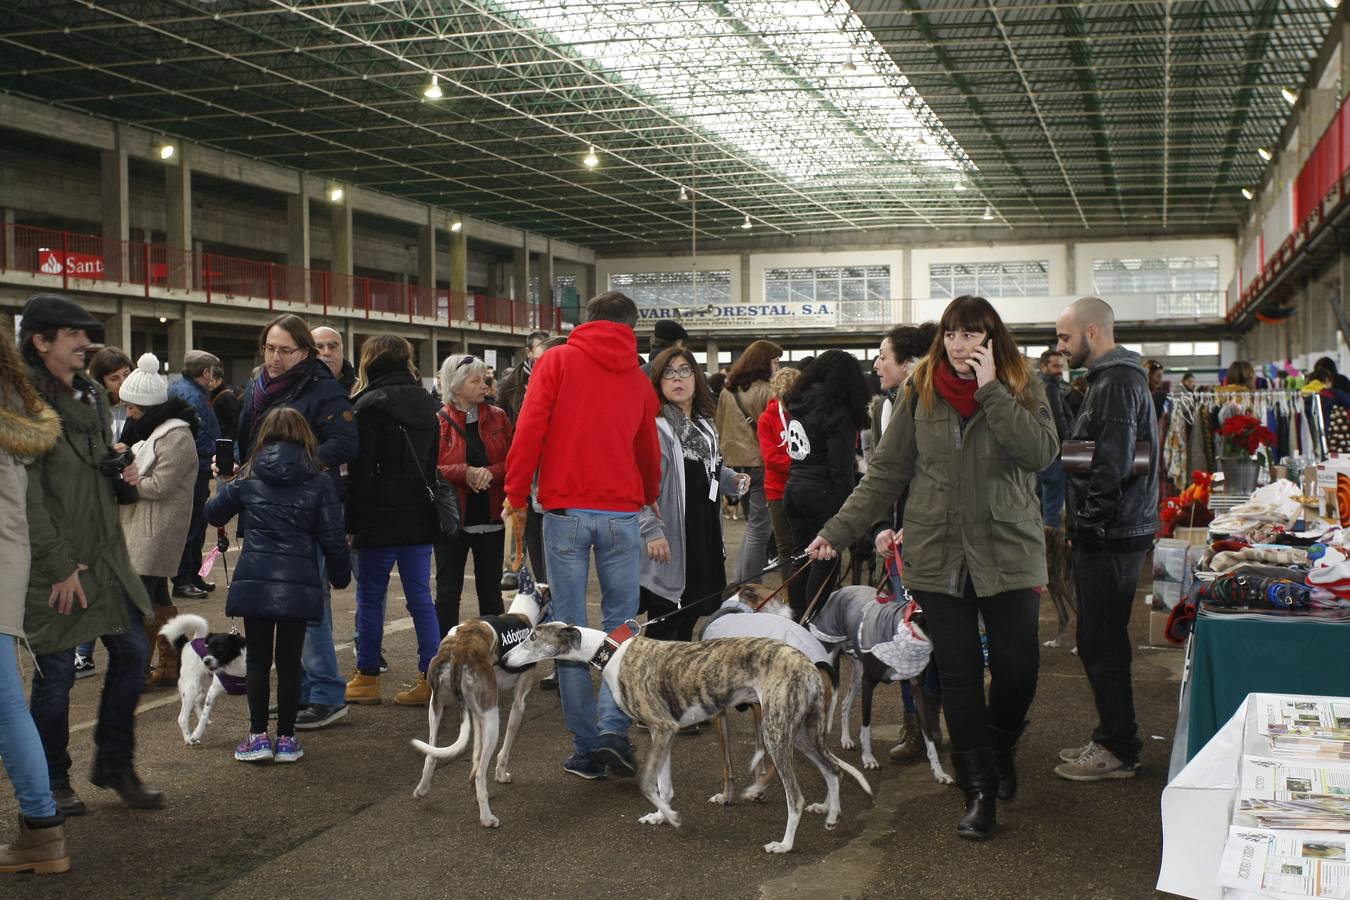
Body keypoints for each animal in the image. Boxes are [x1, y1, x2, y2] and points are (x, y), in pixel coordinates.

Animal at [160, 612, 251, 744]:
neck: (232, 666)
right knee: (182, 718)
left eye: (222, 648)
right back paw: (188, 739)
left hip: (203, 686)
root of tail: (188, 644)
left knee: (196, 701)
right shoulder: (212, 692)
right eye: (207, 648)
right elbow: (204, 715)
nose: (206, 661)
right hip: (191, 689)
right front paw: (196, 734)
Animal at [405, 566, 548, 825]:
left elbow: (476, 752)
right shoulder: (518, 703)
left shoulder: (474, 712)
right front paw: (501, 774)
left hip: (437, 707)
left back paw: (422, 789)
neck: (521, 613)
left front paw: (471, 778)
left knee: (431, 754)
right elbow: (504, 747)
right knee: (483, 772)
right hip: (493, 716)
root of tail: (459, 648)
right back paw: (487, 817)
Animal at [502, 623, 869, 858]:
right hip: (802, 733)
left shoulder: (663, 728)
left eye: (533, 637)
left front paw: (673, 817)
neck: (613, 653)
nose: (503, 661)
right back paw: (831, 815)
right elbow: (663, 785)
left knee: (796, 796)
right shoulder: (661, 732)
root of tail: (809, 665)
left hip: (777, 732)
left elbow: (646, 784)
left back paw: (785, 844)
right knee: (832, 770)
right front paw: (661, 815)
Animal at [810, 580, 950, 782]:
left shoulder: (917, 691)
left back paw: (846, 739)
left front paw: (939, 772)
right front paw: (868, 759)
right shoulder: (869, 682)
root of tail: (840, 589)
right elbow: (866, 725)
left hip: (858, 674)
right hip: (830, 655)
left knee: (845, 704)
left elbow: (929, 737)